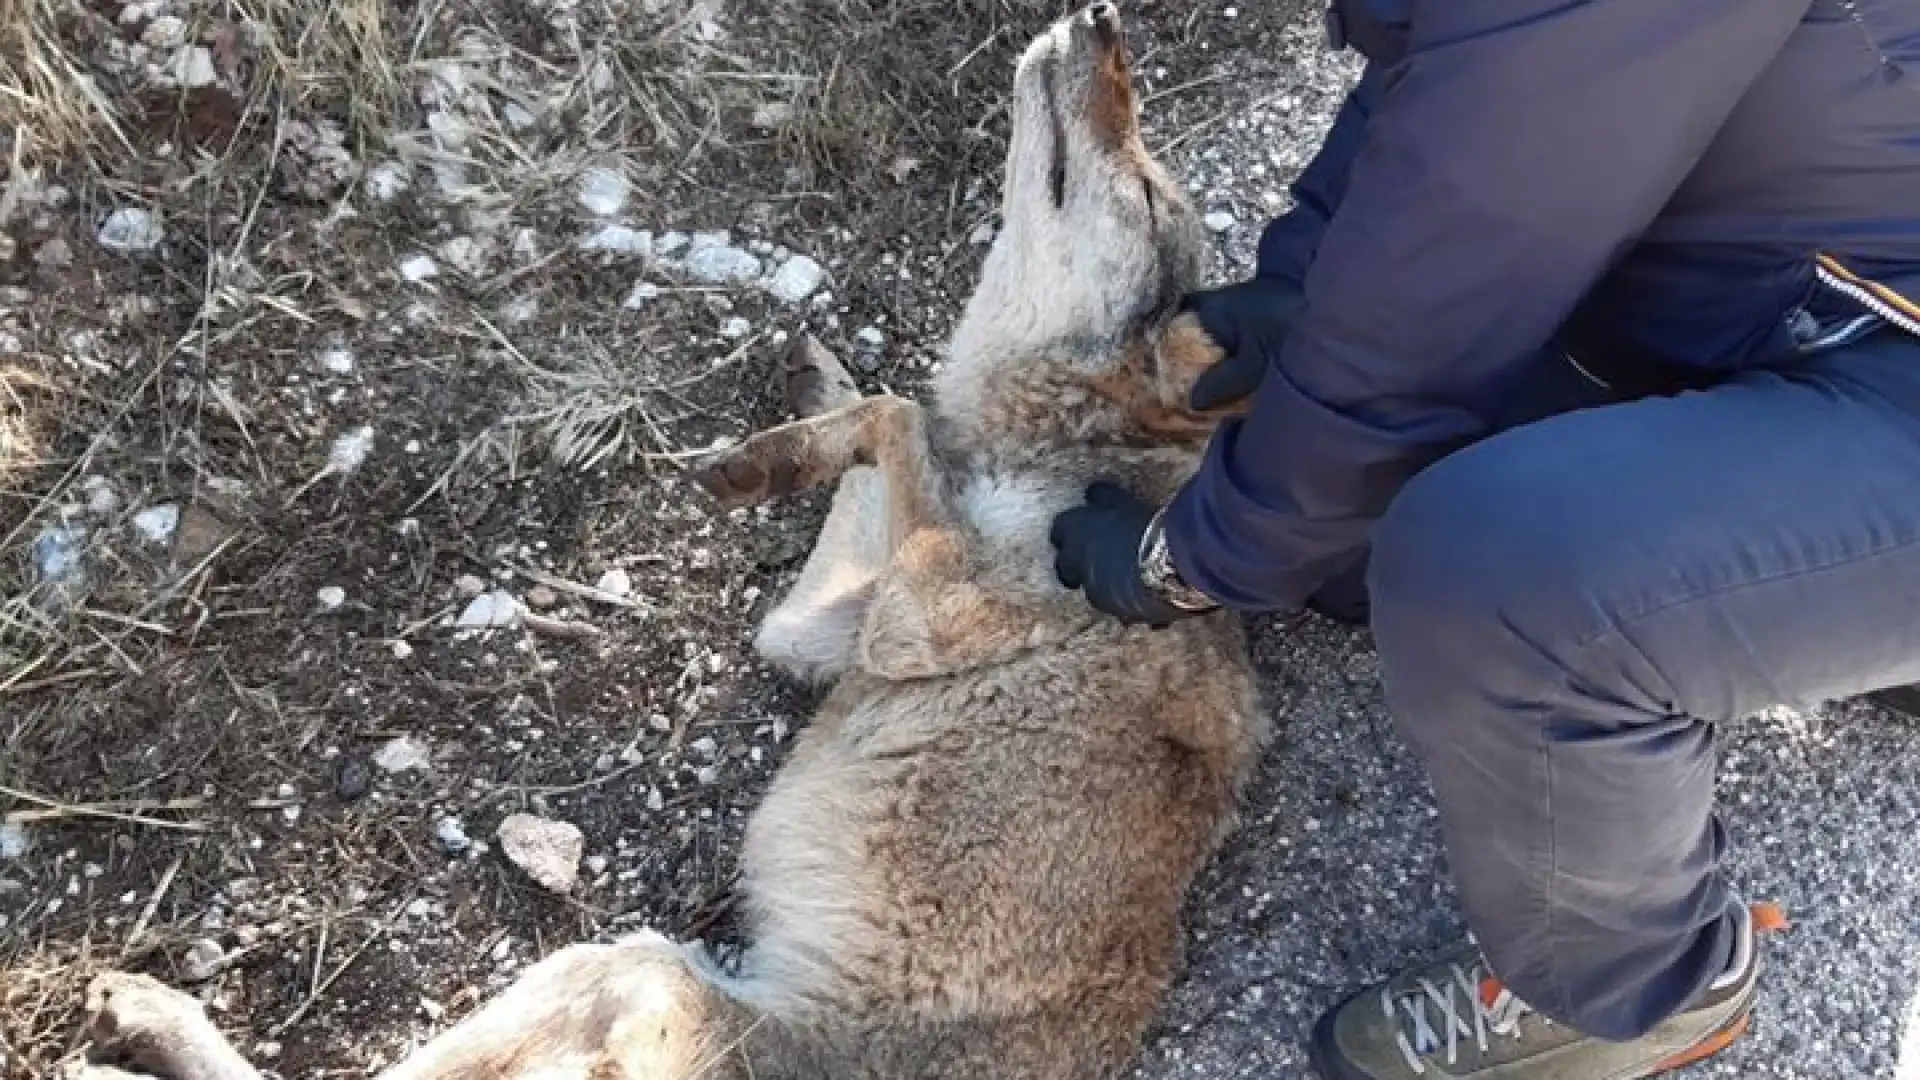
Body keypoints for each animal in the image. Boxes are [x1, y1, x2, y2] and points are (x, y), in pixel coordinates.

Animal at [63, 4, 1274, 1068]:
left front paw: (775, 453)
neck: (1055, 450)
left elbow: (898, 412)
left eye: (1146, 189)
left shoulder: (920, 620)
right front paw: (808, 395)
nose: (1108, 19)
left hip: (629, 968)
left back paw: (138, 1030)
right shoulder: (816, 630)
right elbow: (885, 418)